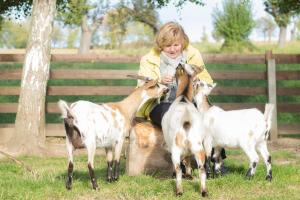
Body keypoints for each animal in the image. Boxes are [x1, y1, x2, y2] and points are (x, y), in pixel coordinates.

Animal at [161, 64, 207, 197]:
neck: (183, 97)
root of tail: (186, 121)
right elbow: (188, 159)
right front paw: (189, 175)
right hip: (199, 149)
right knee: (202, 169)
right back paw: (204, 191)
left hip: (176, 150)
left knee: (178, 169)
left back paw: (179, 191)